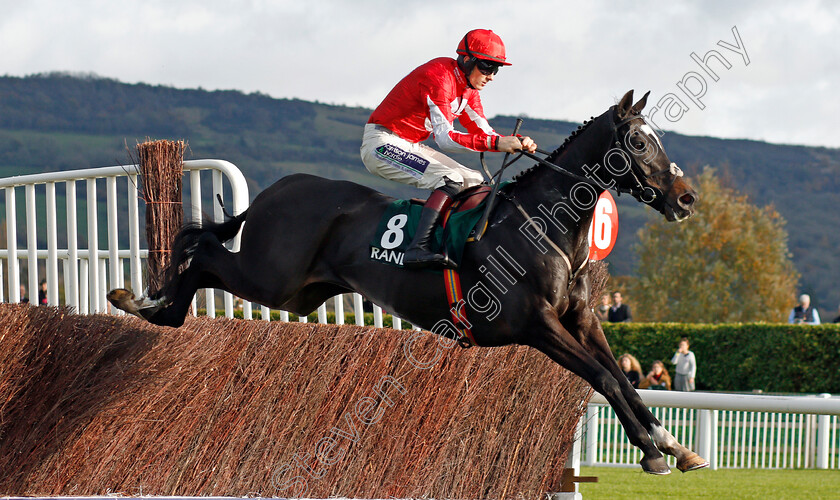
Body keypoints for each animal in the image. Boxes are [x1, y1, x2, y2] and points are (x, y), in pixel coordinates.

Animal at [108, 90, 704, 476]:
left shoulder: (578, 319)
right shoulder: (534, 325)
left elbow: (620, 378)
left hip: (297, 293)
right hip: (269, 277)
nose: (686, 198)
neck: (544, 224)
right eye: (638, 141)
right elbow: (604, 379)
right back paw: (147, 305)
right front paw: (653, 452)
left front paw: (672, 445)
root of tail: (274, 192)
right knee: (204, 252)